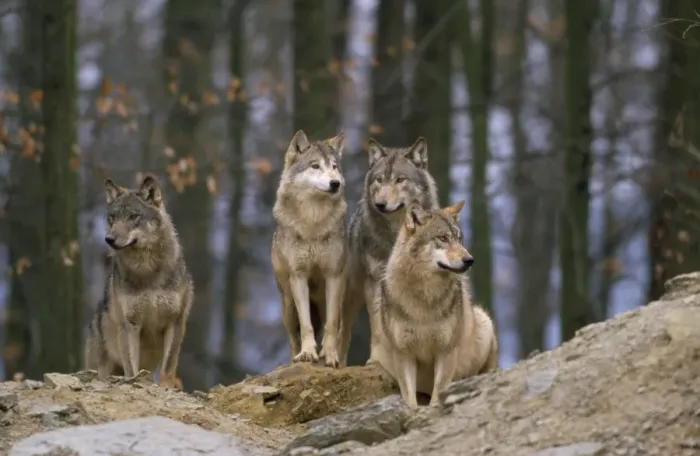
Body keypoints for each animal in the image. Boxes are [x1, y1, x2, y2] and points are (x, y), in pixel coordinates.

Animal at [84, 174, 194, 389]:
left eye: (133, 217)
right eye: (112, 218)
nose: (109, 239)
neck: (147, 271)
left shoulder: (175, 322)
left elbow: (168, 367)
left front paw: (166, 388)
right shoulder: (130, 325)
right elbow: (131, 368)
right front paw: (134, 383)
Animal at [271, 129, 348, 368]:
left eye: (334, 166)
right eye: (315, 166)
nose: (335, 183)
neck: (313, 222)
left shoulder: (334, 276)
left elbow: (331, 325)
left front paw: (330, 356)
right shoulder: (299, 276)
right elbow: (306, 325)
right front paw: (307, 353)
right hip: (287, 306)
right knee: (292, 337)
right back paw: (295, 359)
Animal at [340, 137, 439, 366]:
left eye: (400, 180)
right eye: (379, 180)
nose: (380, 204)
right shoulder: (376, 282)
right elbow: (377, 327)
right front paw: (377, 360)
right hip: (349, 293)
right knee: (341, 331)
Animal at [373, 201, 498, 408]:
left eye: (459, 239)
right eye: (443, 238)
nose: (469, 260)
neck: (425, 297)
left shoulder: (446, 351)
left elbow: (438, 394)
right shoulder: (403, 353)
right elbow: (409, 399)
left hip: (484, 322)